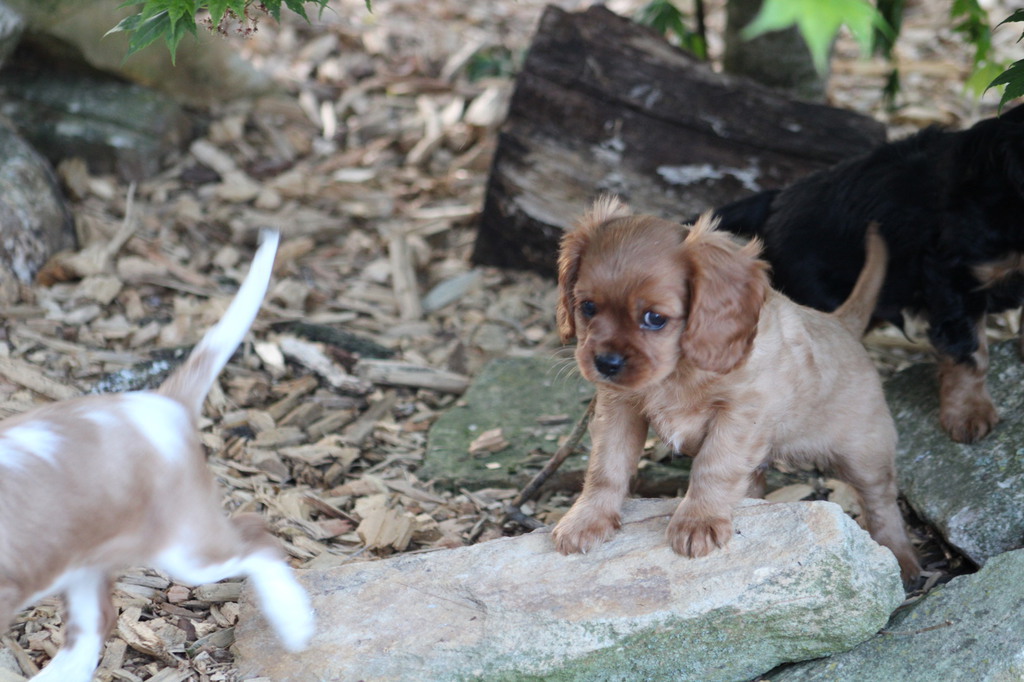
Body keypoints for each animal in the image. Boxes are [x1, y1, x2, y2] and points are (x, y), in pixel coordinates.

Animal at [0, 231, 313, 681]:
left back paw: (293, 618)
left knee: (257, 538)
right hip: (84, 556)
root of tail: (164, 402)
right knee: (94, 624)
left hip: (186, 547)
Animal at [552, 197, 920, 581]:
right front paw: (587, 518)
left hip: (865, 453)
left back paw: (901, 557)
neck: (679, 370)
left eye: (655, 319)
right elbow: (606, 465)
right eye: (588, 307)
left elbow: (714, 466)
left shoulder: (740, 415)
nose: (605, 363)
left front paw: (698, 521)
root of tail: (840, 322)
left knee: (881, 501)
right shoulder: (620, 408)